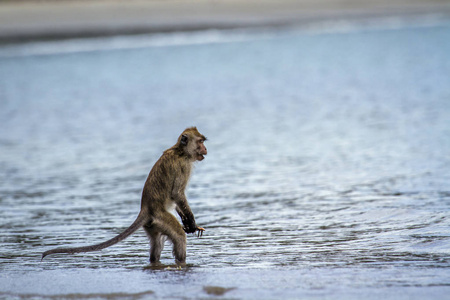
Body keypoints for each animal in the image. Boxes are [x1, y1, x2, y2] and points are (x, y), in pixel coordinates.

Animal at [42, 126, 207, 264]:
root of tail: (145, 209)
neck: (181, 151)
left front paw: (188, 222)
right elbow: (177, 194)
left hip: (153, 224)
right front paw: (191, 222)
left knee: (157, 244)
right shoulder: (183, 167)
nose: (205, 149)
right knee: (179, 236)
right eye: (200, 142)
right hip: (160, 217)